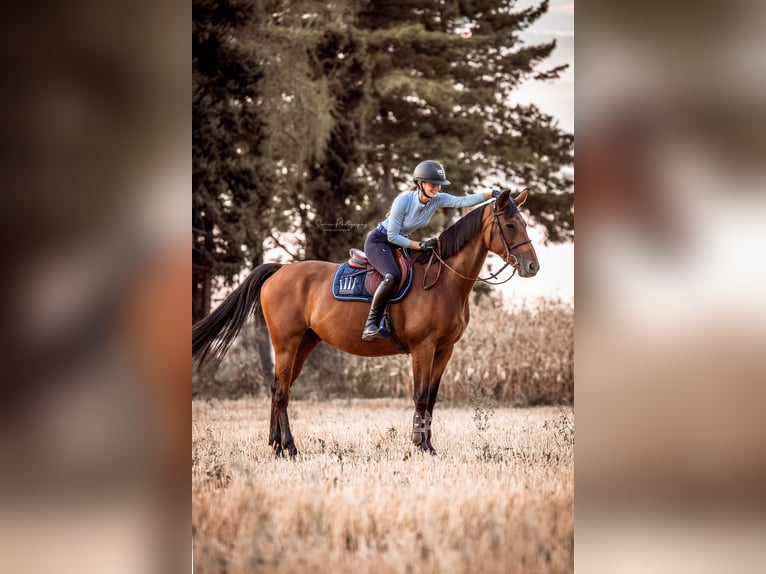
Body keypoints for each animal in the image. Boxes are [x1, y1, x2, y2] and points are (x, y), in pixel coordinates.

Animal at [192, 189, 540, 460]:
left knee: (281, 388)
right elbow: (420, 396)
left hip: (304, 342)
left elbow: (432, 398)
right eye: (510, 225)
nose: (533, 267)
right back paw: (289, 448)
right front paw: (420, 445)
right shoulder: (423, 348)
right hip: (286, 342)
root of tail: (280, 270)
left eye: (524, 223)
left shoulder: (444, 350)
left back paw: (277, 446)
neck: (444, 281)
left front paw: (429, 444)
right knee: (280, 393)